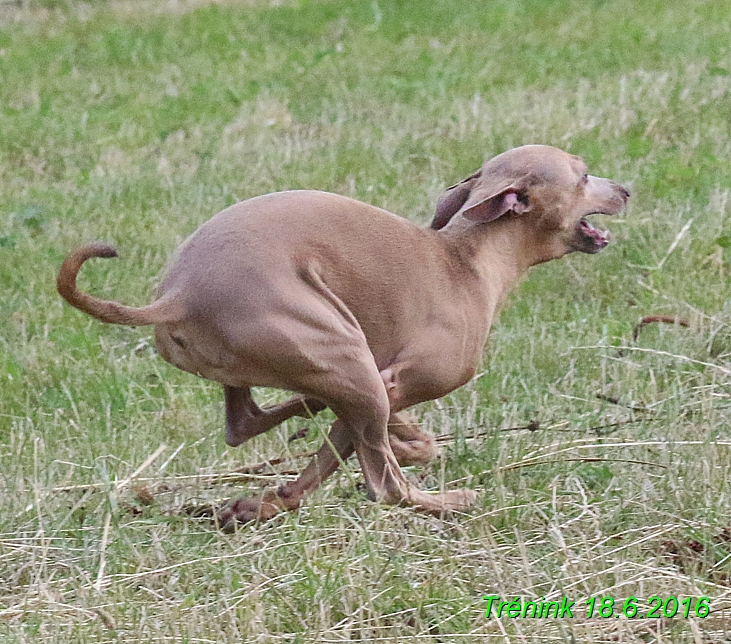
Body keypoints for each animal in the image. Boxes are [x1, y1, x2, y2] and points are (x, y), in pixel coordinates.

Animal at [57, 145, 628, 528]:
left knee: (248, 421)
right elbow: (357, 452)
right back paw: (448, 502)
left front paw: (268, 502)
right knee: (386, 487)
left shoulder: (379, 386)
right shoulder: (394, 382)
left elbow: (341, 449)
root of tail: (178, 295)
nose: (627, 189)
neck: (468, 261)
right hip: (344, 355)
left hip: (314, 363)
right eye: (582, 176)